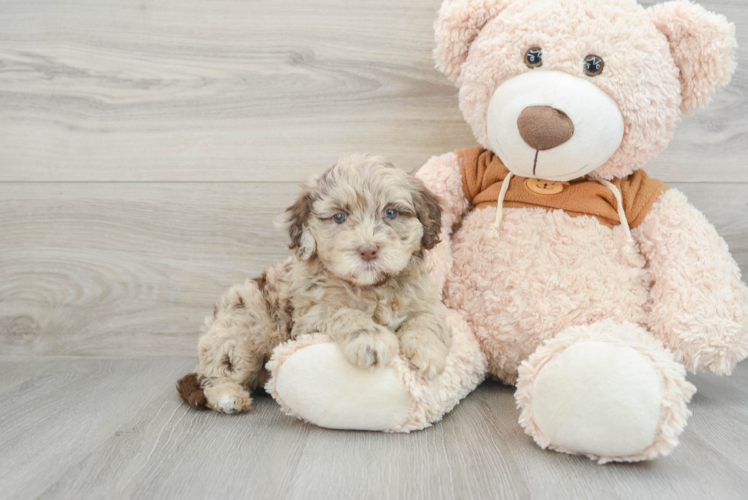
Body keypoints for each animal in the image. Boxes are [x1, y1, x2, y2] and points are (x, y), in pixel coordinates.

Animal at [178, 154, 452, 412]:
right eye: (339, 217)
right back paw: (228, 396)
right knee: (214, 374)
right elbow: (343, 312)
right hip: (240, 335)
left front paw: (428, 349)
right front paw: (370, 340)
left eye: (391, 213)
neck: (372, 286)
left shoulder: (425, 300)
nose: (367, 250)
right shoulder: (309, 318)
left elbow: (427, 318)